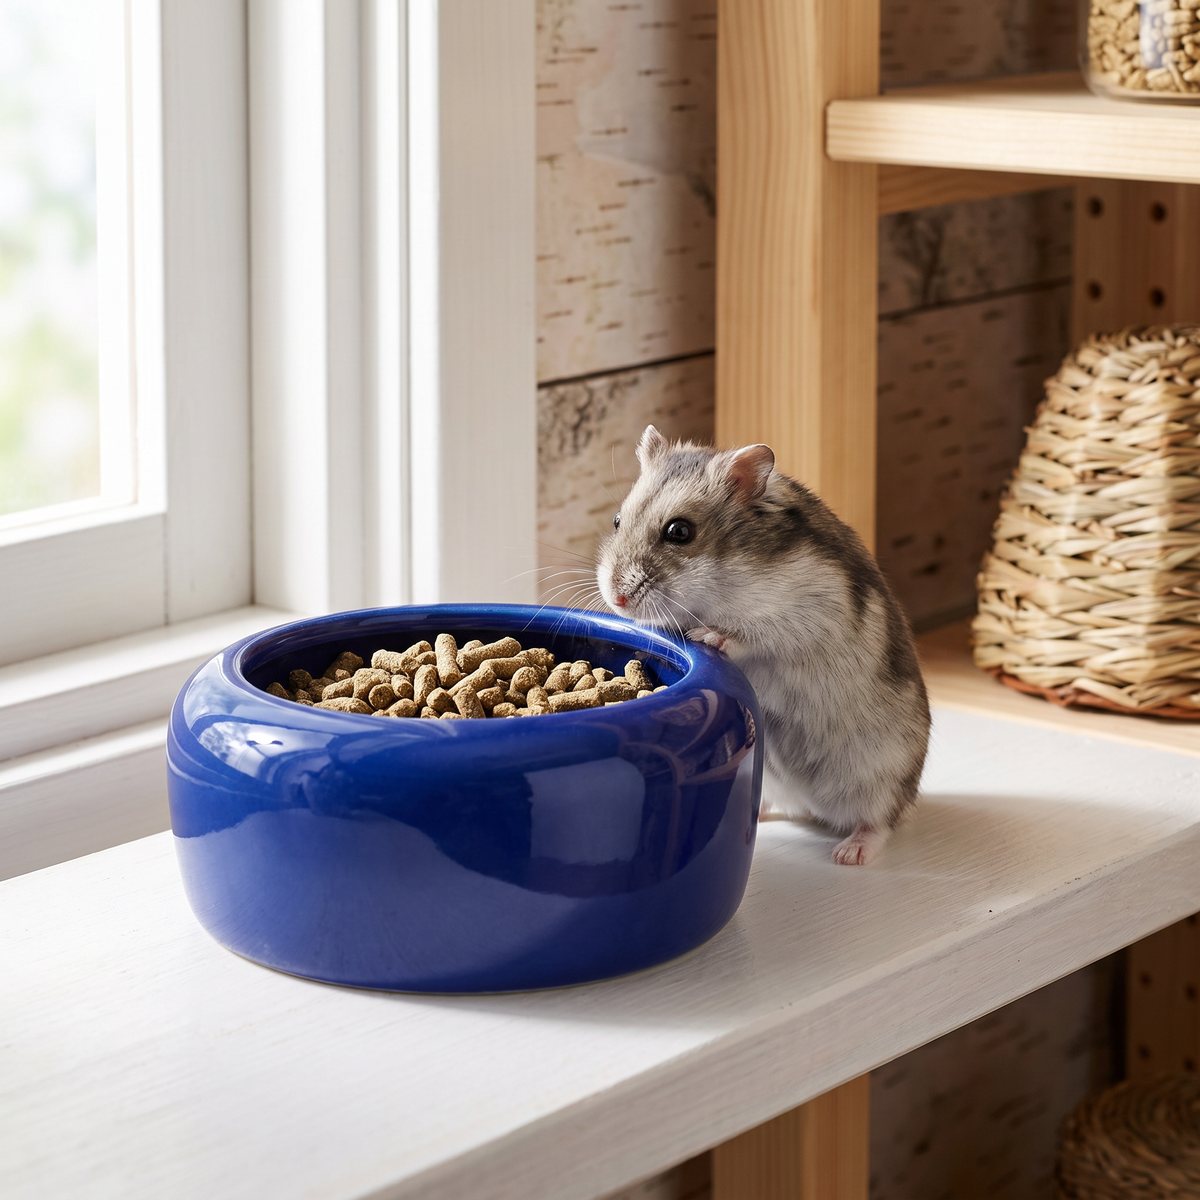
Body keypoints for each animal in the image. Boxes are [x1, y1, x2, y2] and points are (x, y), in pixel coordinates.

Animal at [596, 425, 930, 866]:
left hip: (880, 776)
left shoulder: (805, 614)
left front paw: (706, 636)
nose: (617, 600)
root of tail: (819, 809)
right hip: (777, 780)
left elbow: (747, 636)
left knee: (879, 821)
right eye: (617, 520)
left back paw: (849, 854)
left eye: (680, 532)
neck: (726, 580)